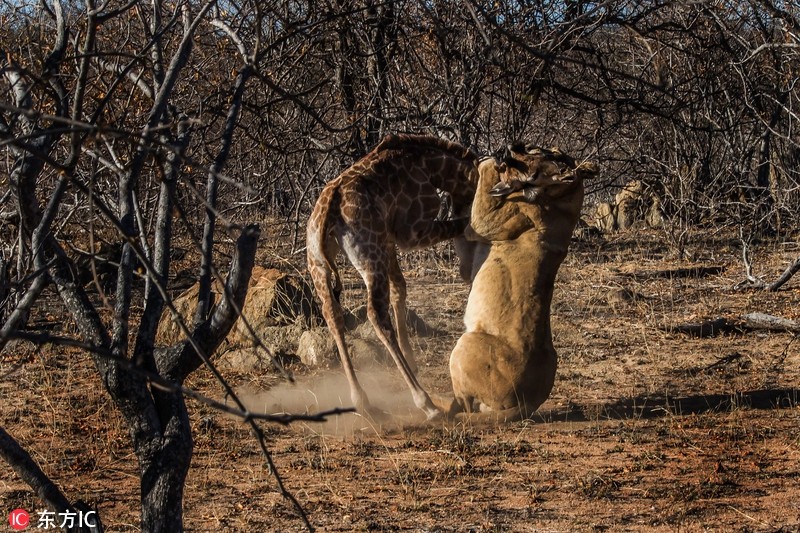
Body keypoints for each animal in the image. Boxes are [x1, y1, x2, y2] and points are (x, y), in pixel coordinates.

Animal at [310, 133, 478, 420]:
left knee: (332, 314)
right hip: (369, 258)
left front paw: (411, 357)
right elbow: (462, 224)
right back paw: (426, 403)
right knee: (376, 315)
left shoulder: (388, 240)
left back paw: (362, 402)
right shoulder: (412, 232)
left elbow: (401, 287)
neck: (431, 166)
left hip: (319, 264)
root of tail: (328, 211)